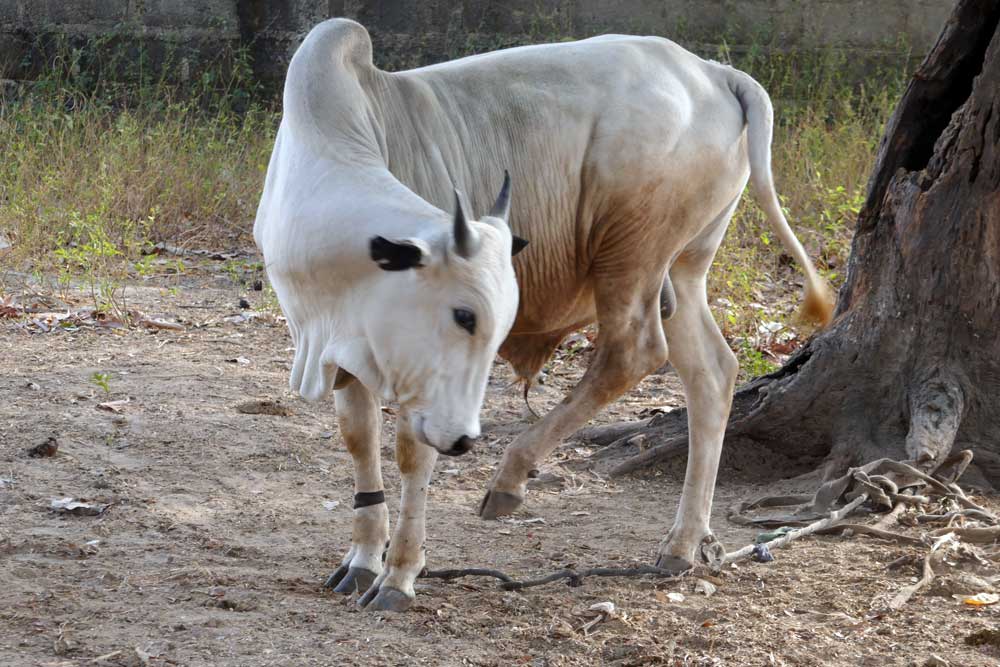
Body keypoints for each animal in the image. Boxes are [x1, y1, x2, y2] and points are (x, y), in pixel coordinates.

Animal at [254, 18, 833, 612]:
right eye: (465, 315)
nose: (466, 440)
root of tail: (713, 71)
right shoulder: (345, 347)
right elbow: (359, 440)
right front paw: (363, 559)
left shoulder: (423, 380)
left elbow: (411, 455)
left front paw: (399, 575)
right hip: (682, 271)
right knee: (712, 375)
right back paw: (682, 543)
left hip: (631, 253)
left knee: (632, 353)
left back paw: (511, 476)